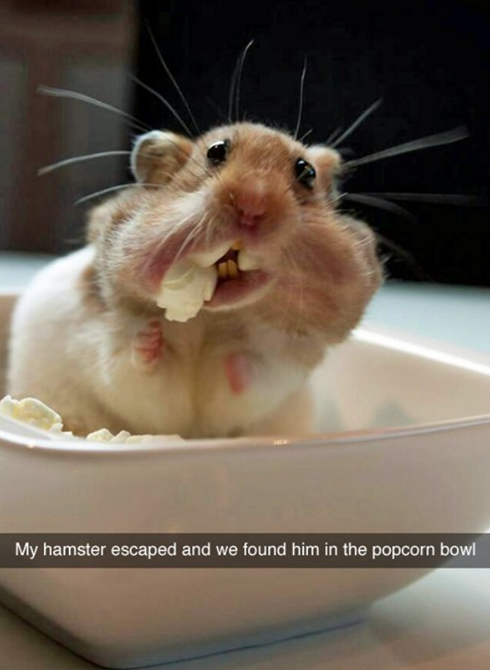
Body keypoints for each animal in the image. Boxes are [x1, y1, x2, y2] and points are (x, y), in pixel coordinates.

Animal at [7, 122, 381, 438]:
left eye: (306, 171)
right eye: (216, 151)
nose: (253, 204)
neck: (211, 317)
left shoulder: (283, 370)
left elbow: (252, 378)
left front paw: (236, 358)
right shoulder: (109, 359)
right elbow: (135, 372)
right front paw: (150, 337)